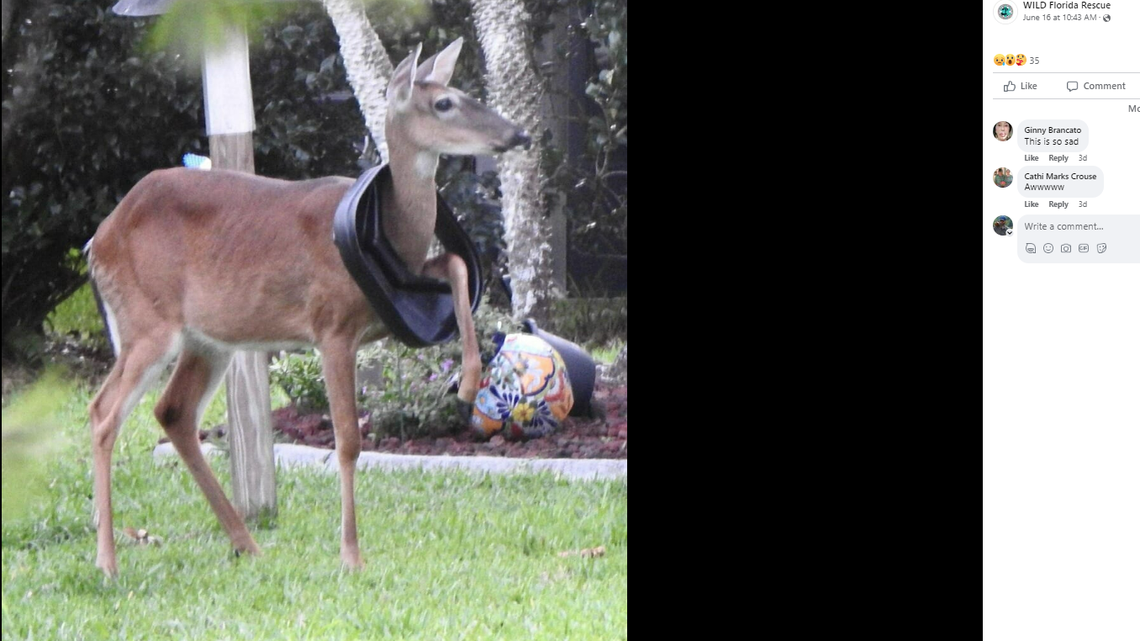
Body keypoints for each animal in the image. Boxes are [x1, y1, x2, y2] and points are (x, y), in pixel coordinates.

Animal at [84, 38, 530, 577]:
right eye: (444, 102)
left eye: (462, 92)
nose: (519, 133)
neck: (391, 230)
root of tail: (98, 241)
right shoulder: (331, 325)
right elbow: (348, 440)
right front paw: (351, 555)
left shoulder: (394, 296)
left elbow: (460, 265)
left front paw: (467, 381)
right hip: (146, 320)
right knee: (104, 412)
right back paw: (108, 561)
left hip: (209, 340)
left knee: (173, 412)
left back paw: (246, 544)